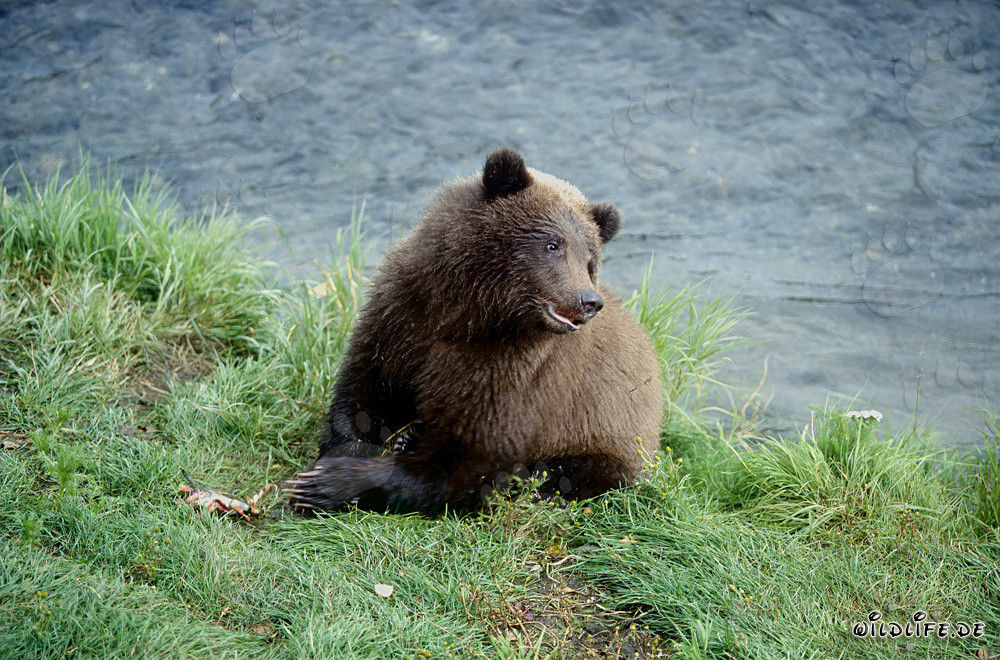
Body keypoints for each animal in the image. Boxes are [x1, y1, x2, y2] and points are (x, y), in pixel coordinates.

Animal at [285, 146, 663, 513]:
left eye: (590, 260)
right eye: (553, 244)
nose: (589, 300)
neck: (470, 313)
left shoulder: (514, 374)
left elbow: (467, 460)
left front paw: (327, 485)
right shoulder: (403, 317)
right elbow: (363, 391)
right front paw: (338, 459)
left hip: (606, 436)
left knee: (569, 474)